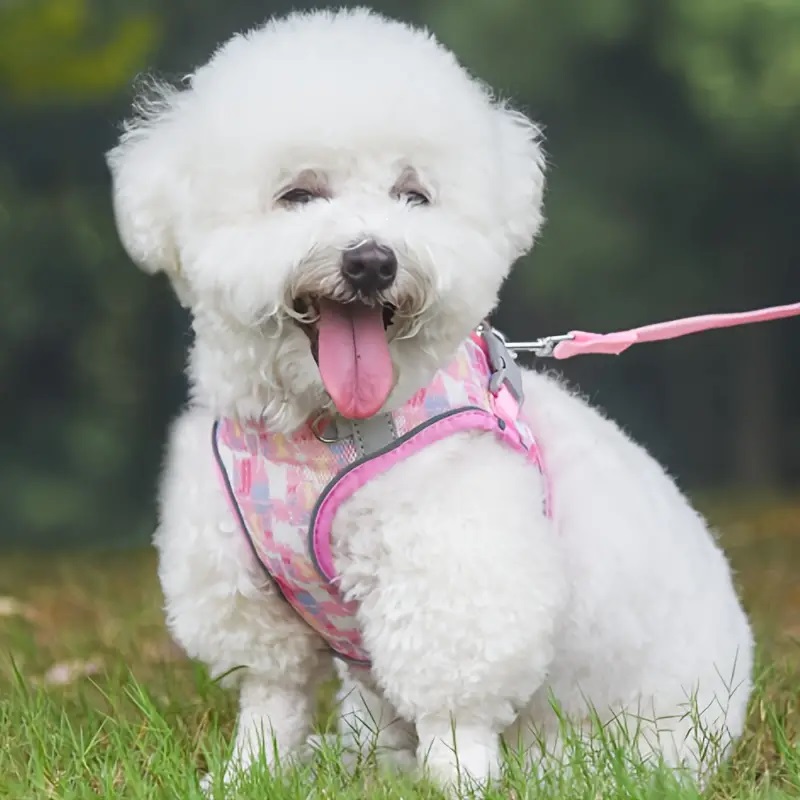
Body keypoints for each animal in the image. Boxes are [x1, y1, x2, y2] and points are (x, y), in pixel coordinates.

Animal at [107, 7, 753, 794]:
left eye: (413, 195)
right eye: (299, 194)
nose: (371, 260)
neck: (318, 429)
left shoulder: (453, 566)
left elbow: (454, 706)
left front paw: (459, 780)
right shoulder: (246, 588)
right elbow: (272, 698)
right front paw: (251, 775)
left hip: (631, 744)